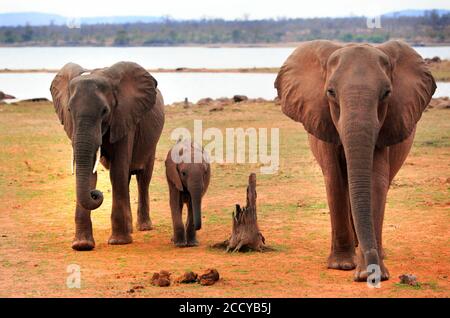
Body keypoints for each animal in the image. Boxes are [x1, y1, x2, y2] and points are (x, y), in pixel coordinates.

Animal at [274, 39, 436, 280]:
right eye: (330, 92)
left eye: (387, 93)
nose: (369, 273)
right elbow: (335, 178)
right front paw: (342, 265)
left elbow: (376, 181)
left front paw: (373, 271)